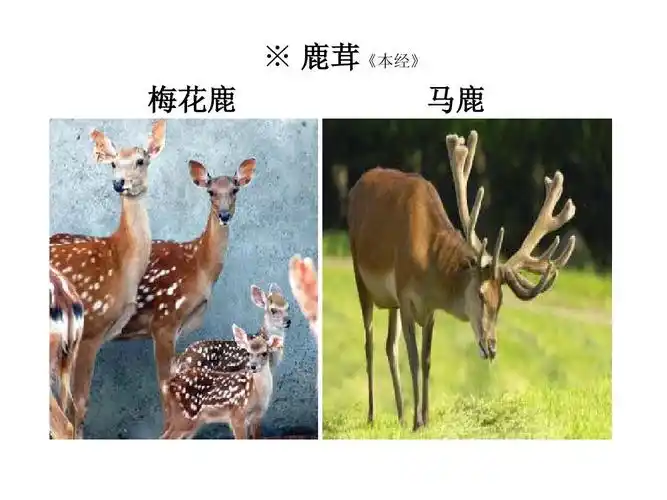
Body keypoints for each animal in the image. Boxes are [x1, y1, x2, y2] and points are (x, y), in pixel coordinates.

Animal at [52, 157, 256, 423]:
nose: (224, 215)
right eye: (211, 191)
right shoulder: (165, 319)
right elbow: (165, 387)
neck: (198, 267)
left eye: (235, 189)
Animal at [347, 130, 577, 431]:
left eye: (500, 302)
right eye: (480, 294)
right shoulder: (406, 296)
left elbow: (427, 359)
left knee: (389, 345)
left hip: (390, 301)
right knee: (370, 343)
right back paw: (373, 415)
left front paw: (425, 419)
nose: (491, 347)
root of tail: (356, 186)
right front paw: (417, 422)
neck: (428, 263)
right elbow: (414, 360)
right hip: (360, 275)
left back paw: (399, 415)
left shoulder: (428, 307)